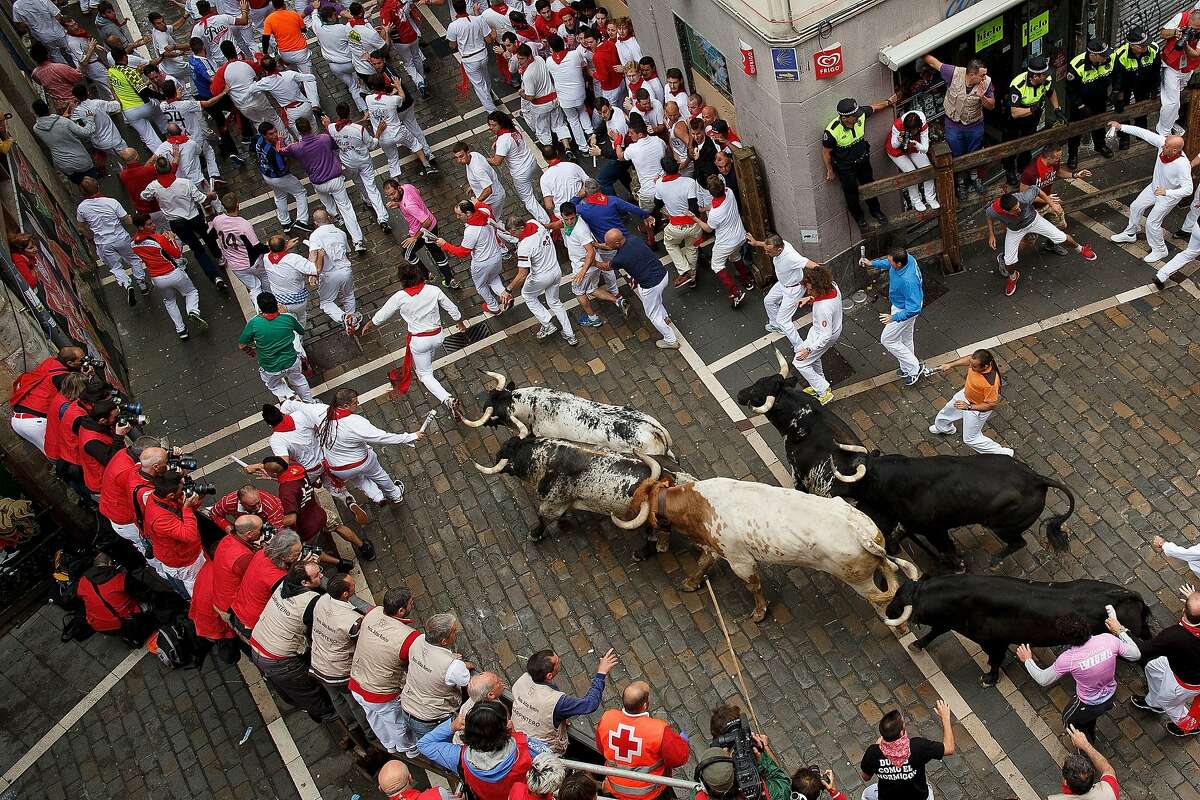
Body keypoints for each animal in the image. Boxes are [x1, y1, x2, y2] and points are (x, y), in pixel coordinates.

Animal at [470, 434, 676, 542]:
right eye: (509, 442)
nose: (497, 454)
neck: (550, 458)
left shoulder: (551, 506)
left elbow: (543, 519)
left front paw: (534, 535)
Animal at [633, 479, 921, 623]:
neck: (699, 504)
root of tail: (860, 531)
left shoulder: (740, 560)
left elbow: (753, 586)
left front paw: (759, 613)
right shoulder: (717, 546)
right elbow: (704, 561)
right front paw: (690, 583)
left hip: (857, 579)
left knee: (881, 595)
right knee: (890, 573)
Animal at [883, 575, 1152, 690]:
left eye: (902, 601)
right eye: (899, 591)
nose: (887, 608)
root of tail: (1127, 594)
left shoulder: (995, 643)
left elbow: (994, 661)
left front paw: (989, 679)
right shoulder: (949, 623)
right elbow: (936, 631)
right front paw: (917, 644)